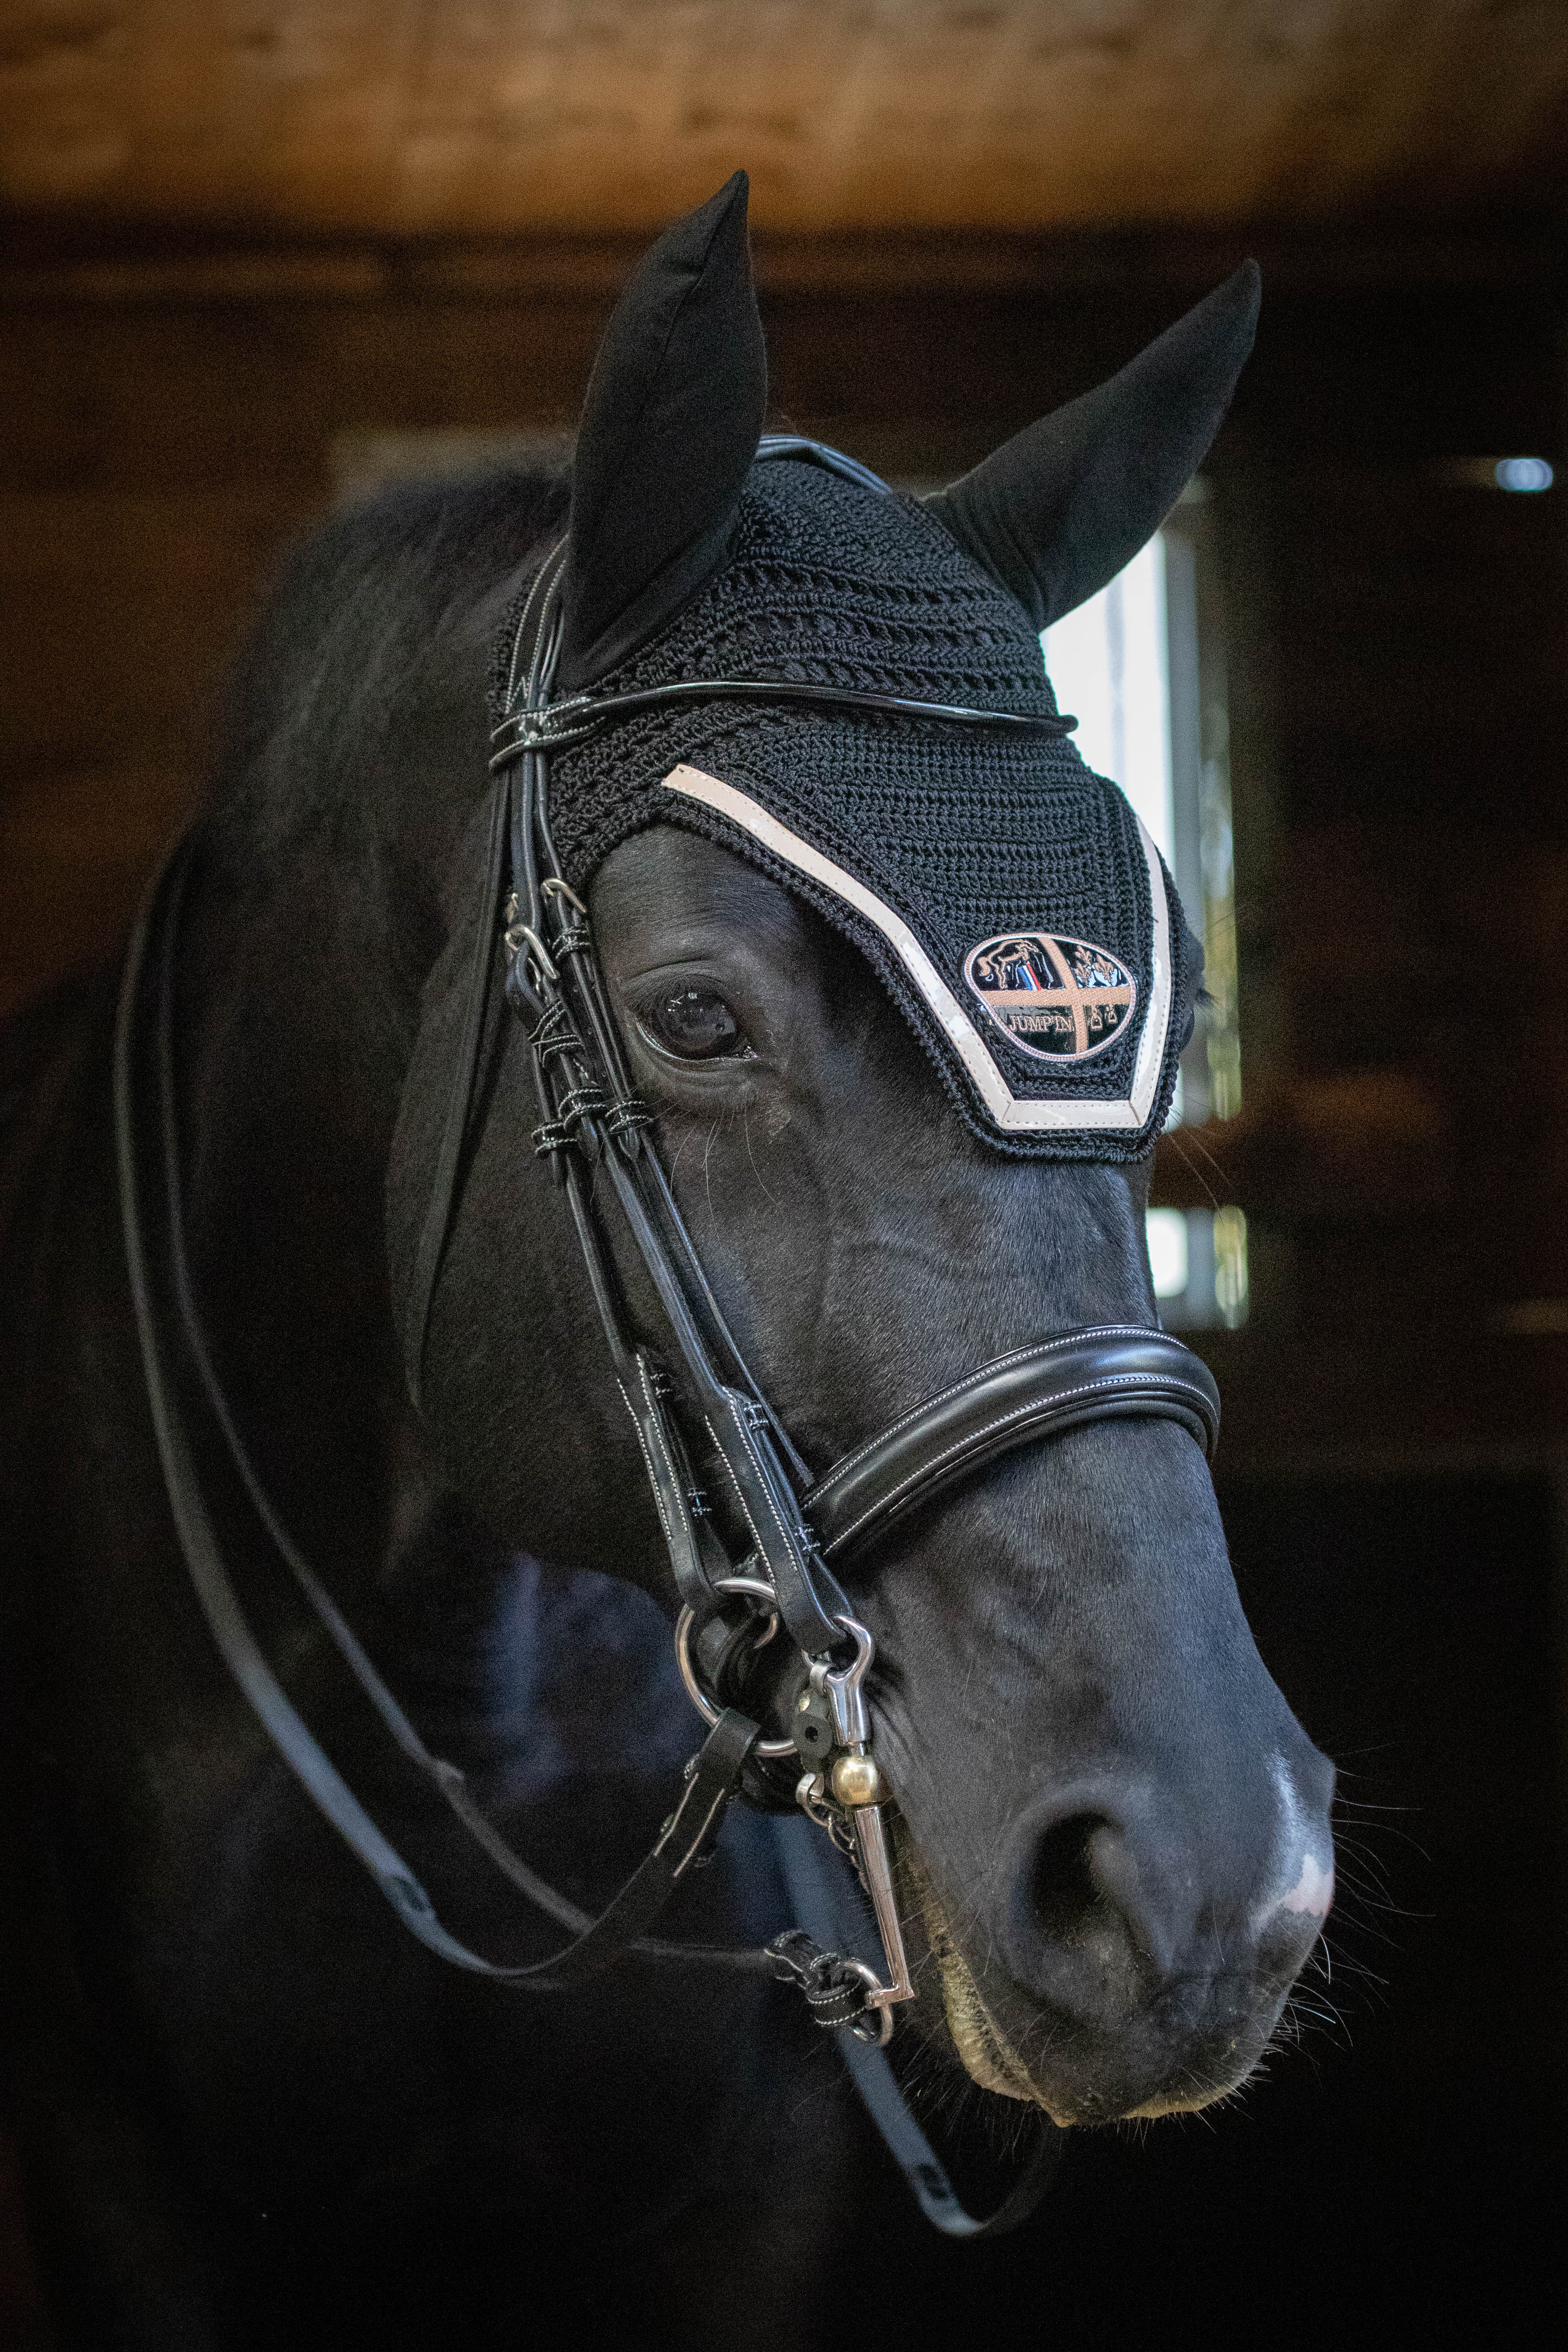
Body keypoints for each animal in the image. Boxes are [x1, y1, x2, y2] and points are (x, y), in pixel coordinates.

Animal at [0, 175, 1335, 2349]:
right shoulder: (122, 2200)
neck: (460, 1681)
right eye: (694, 1014)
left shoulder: (749, 2203)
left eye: (1178, 999)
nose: (1211, 1880)